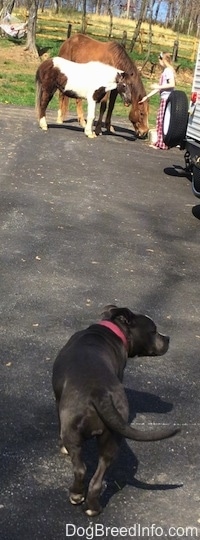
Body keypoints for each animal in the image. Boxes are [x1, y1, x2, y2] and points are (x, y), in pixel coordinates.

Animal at [52, 306, 178, 516]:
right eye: (153, 331)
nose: (168, 338)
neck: (111, 329)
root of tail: (99, 393)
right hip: (111, 440)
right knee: (95, 478)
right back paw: (93, 507)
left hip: (73, 429)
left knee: (80, 469)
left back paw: (77, 495)